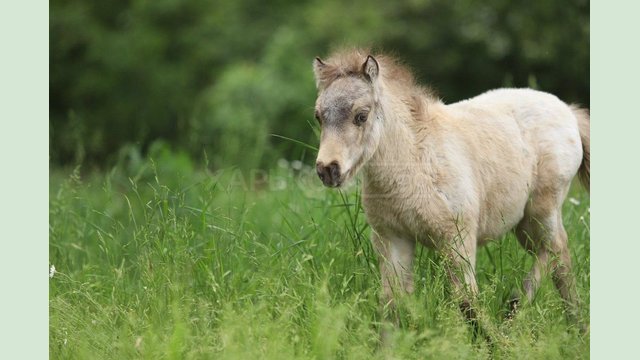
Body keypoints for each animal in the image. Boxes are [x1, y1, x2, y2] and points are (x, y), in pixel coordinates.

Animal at [312, 48, 592, 340]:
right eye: (319, 117)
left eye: (361, 115)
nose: (327, 169)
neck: (415, 161)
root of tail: (568, 111)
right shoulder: (392, 239)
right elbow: (391, 304)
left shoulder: (458, 239)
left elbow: (467, 300)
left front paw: (491, 343)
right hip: (523, 223)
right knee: (555, 255)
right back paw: (570, 323)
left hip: (542, 209)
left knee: (556, 248)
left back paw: (517, 308)